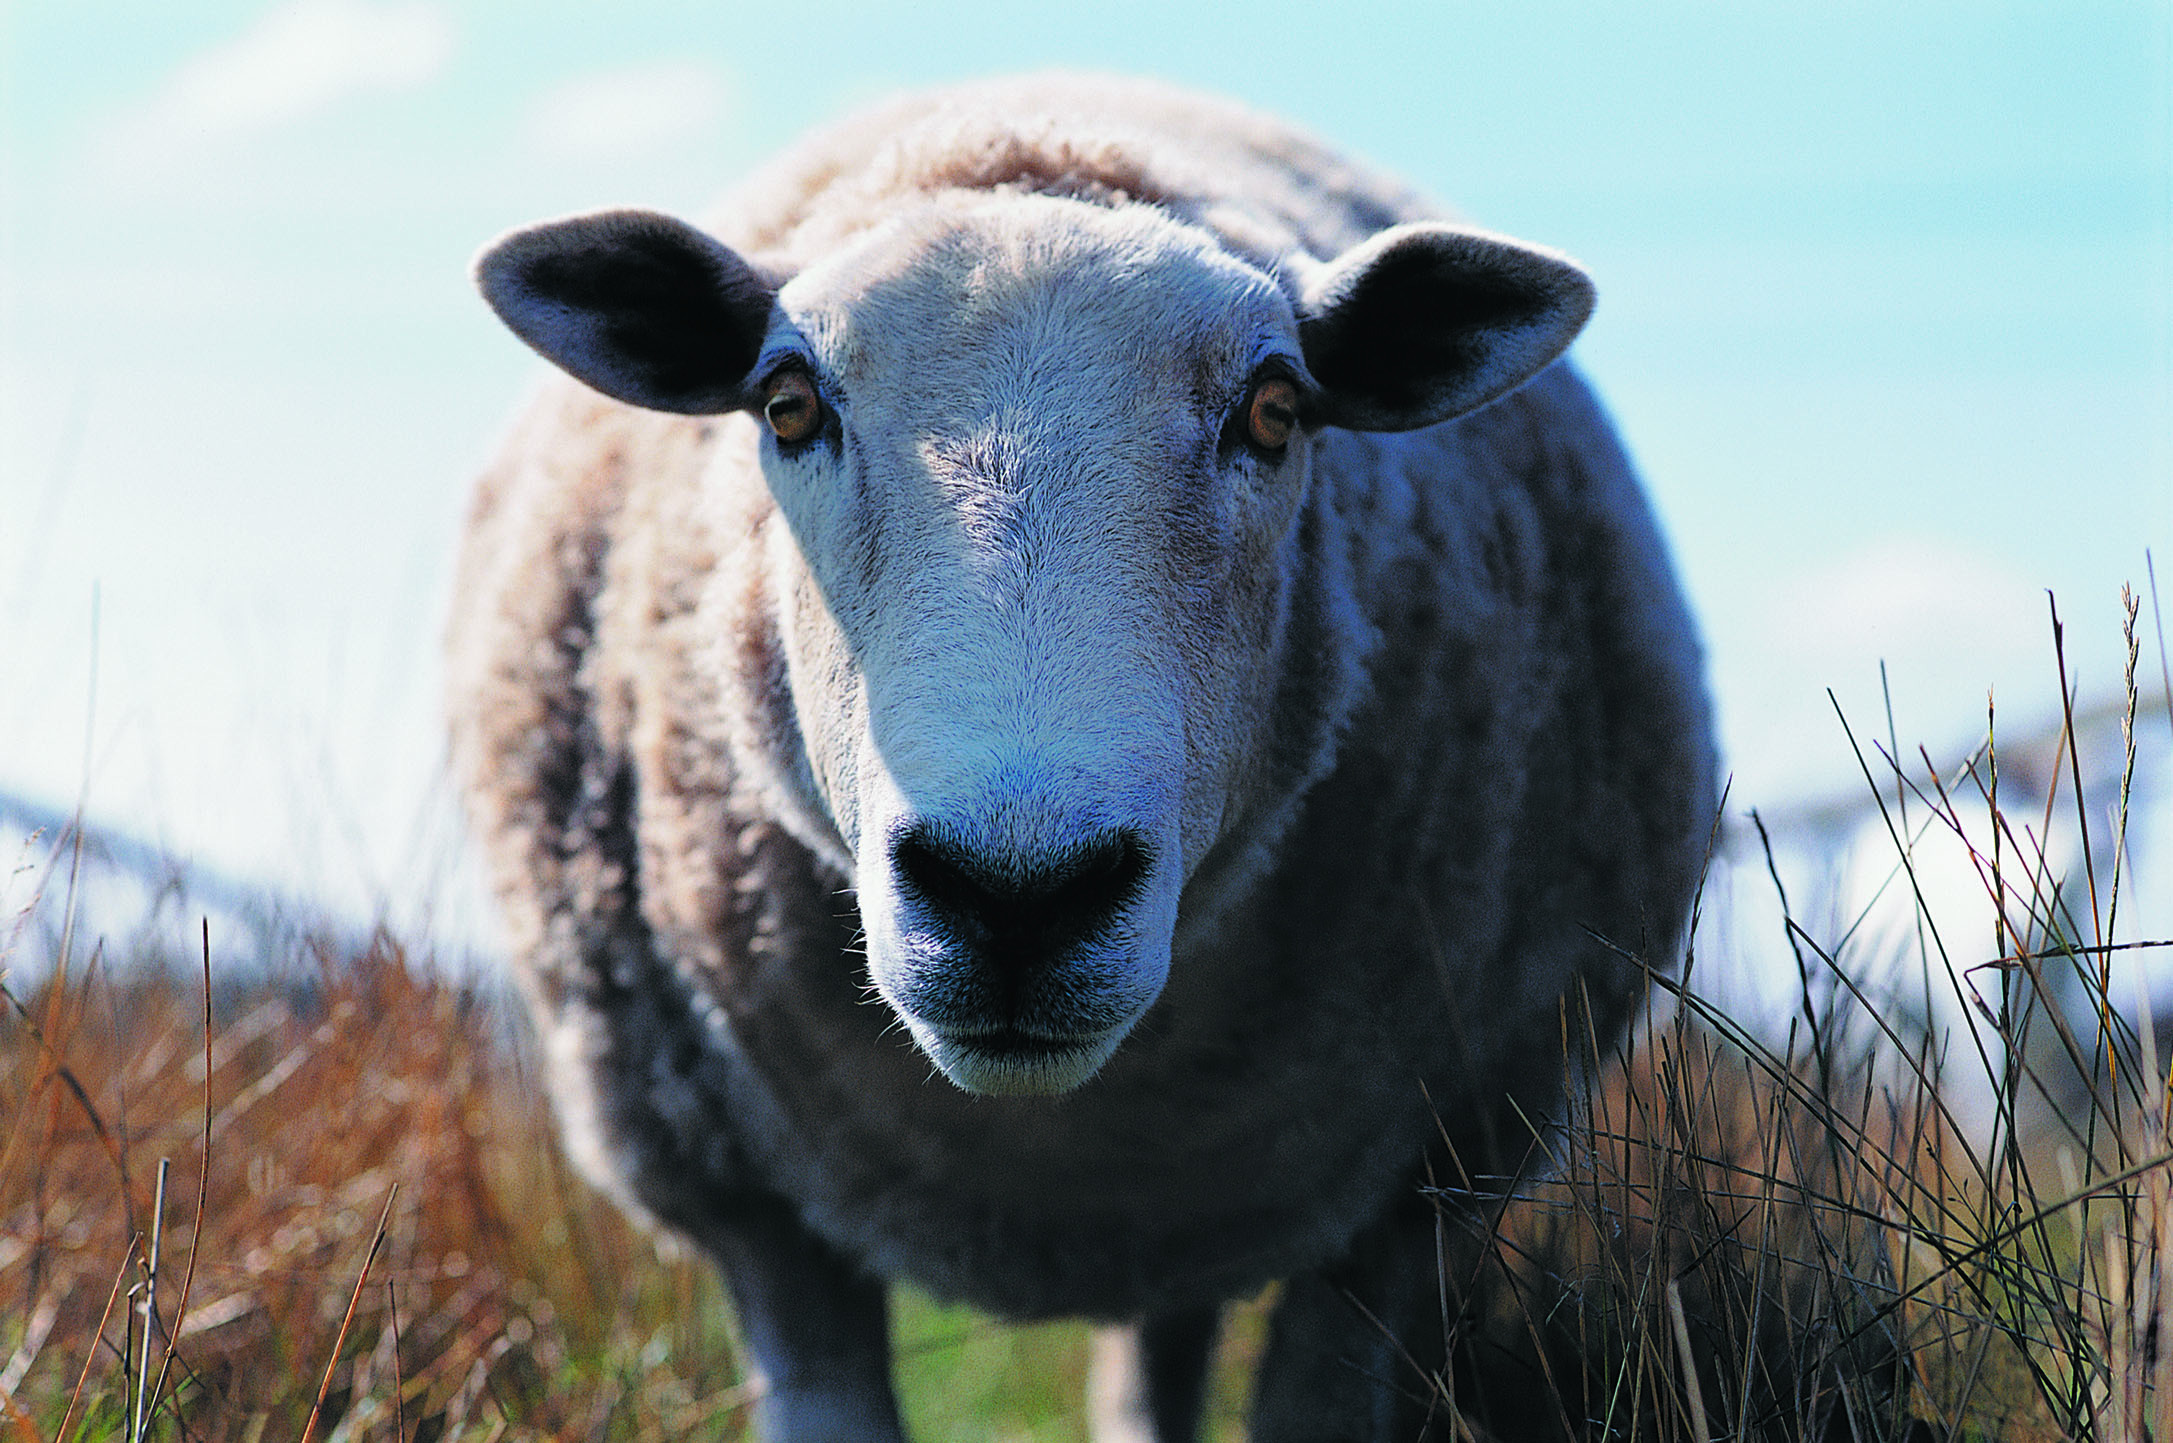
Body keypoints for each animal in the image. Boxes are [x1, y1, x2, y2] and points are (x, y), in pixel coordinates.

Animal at [449, 73, 1716, 1443]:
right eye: (788, 403)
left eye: (1274, 410)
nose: (1017, 895)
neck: (1045, 1146)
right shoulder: (757, 1218)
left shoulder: (1411, 1198)